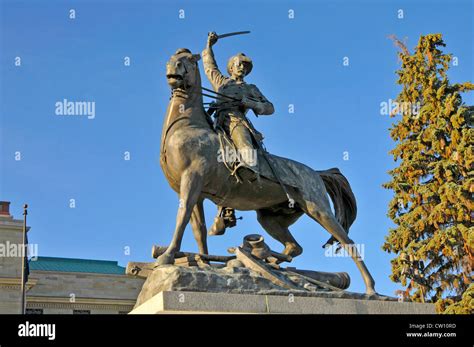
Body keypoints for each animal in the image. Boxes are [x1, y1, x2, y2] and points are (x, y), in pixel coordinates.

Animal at [159, 47, 378, 294]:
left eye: (188, 60)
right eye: (172, 59)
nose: (172, 70)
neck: (189, 125)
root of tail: (316, 173)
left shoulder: (192, 180)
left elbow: (182, 217)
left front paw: (167, 256)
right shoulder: (194, 192)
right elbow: (198, 229)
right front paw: (203, 261)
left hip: (319, 210)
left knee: (348, 243)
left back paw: (370, 289)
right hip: (270, 217)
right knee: (294, 248)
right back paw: (268, 259)